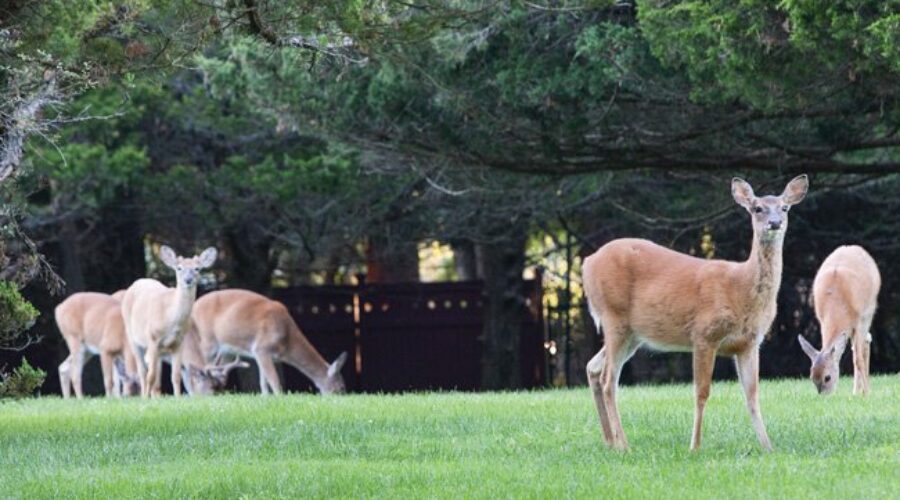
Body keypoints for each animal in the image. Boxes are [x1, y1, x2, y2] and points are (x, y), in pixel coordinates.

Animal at [121, 245, 221, 398]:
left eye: (197, 268)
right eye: (179, 268)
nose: (188, 279)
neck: (170, 319)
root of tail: (136, 283)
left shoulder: (178, 343)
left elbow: (175, 376)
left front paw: (178, 398)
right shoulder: (153, 338)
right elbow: (151, 375)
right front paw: (146, 398)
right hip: (132, 336)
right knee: (143, 371)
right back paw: (144, 396)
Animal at [191, 288, 348, 395]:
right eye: (341, 387)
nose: (342, 395)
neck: (287, 340)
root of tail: (194, 306)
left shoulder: (263, 355)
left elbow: (263, 381)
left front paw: (265, 398)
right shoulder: (261, 348)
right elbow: (274, 381)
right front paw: (280, 398)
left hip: (226, 350)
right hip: (207, 341)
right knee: (197, 366)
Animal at [583, 174, 809, 452]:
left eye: (785, 208)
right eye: (758, 208)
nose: (775, 223)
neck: (741, 289)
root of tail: (586, 264)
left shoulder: (749, 344)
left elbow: (752, 395)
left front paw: (768, 447)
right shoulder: (704, 334)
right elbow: (702, 392)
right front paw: (695, 446)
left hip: (633, 335)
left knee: (593, 368)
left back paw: (610, 441)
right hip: (614, 316)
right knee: (608, 380)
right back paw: (624, 444)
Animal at [798, 245, 880, 396]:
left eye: (827, 377)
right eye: (811, 377)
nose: (824, 395)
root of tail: (854, 247)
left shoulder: (858, 321)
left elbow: (858, 359)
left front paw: (867, 393)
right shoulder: (821, 320)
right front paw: (860, 392)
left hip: (869, 311)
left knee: (864, 344)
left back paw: (861, 390)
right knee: (860, 345)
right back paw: (856, 391)